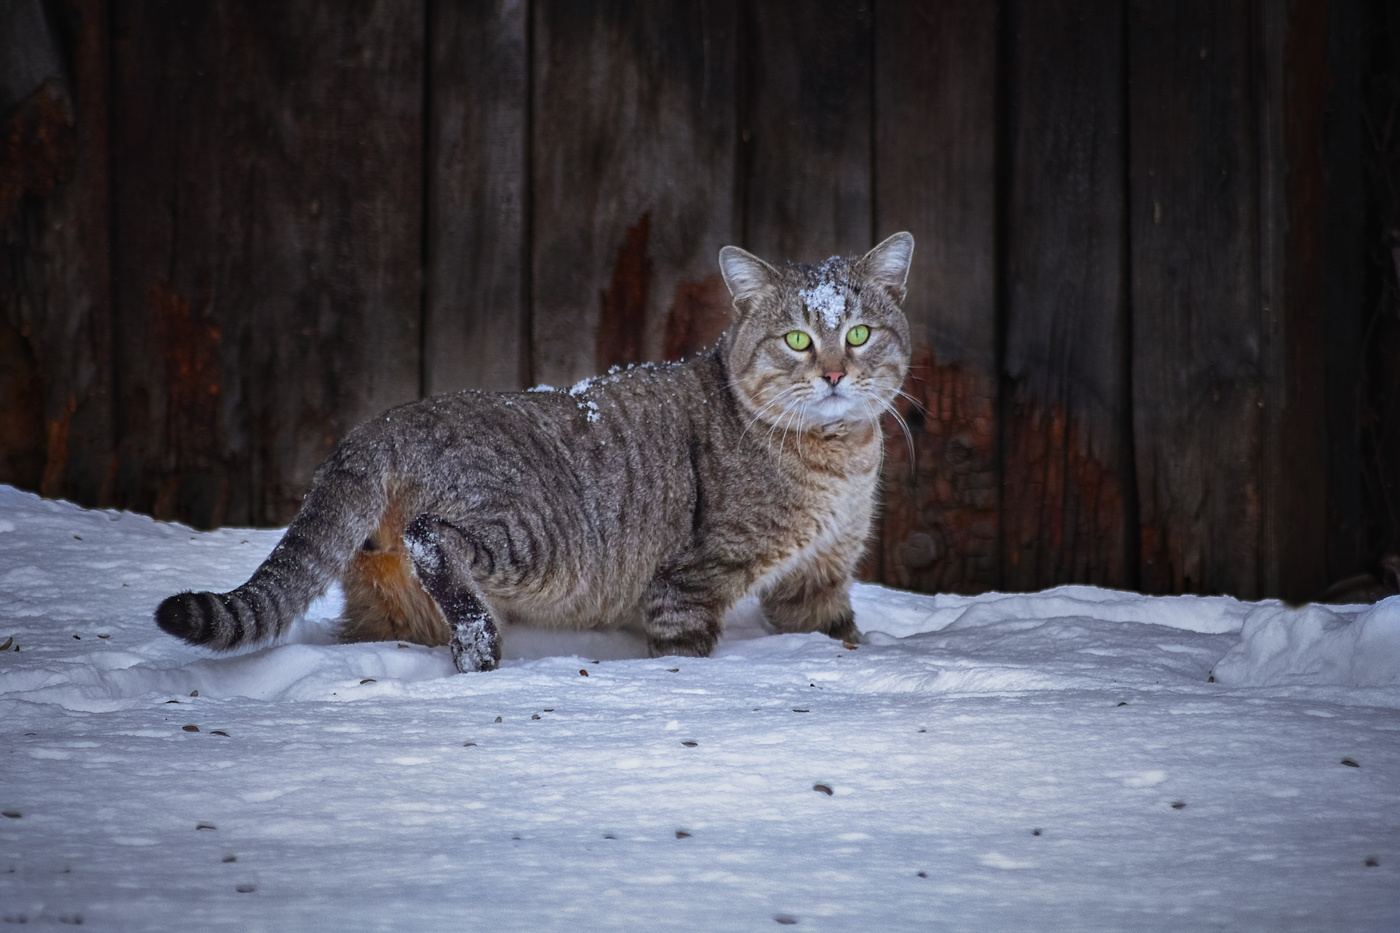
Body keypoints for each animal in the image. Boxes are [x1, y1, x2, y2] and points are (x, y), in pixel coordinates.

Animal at [156, 231, 918, 669]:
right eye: (796, 340)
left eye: (857, 334)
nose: (833, 374)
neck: (841, 457)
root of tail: (385, 420)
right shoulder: (692, 579)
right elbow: (683, 654)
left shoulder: (818, 578)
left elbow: (841, 634)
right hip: (538, 540)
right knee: (434, 538)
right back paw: (477, 639)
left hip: (387, 601)